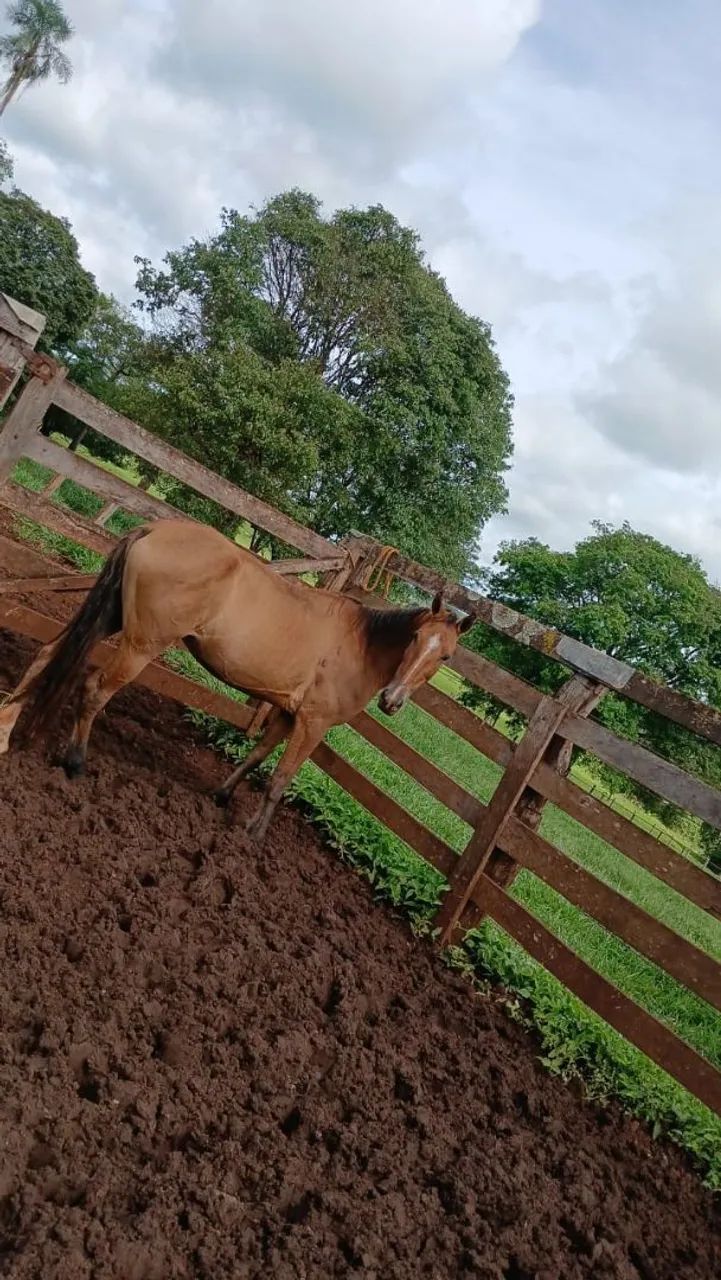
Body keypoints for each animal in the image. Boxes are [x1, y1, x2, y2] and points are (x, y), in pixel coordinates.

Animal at [0, 520, 473, 844]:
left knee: (47, 656)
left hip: (108, 618)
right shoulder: (313, 724)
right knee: (95, 690)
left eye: (445, 655)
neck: (361, 645)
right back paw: (75, 763)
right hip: (139, 646)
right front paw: (254, 832)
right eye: (415, 639)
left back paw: (7, 729)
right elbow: (281, 778)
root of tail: (157, 527)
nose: (392, 700)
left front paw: (223, 796)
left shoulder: (286, 714)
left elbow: (256, 757)